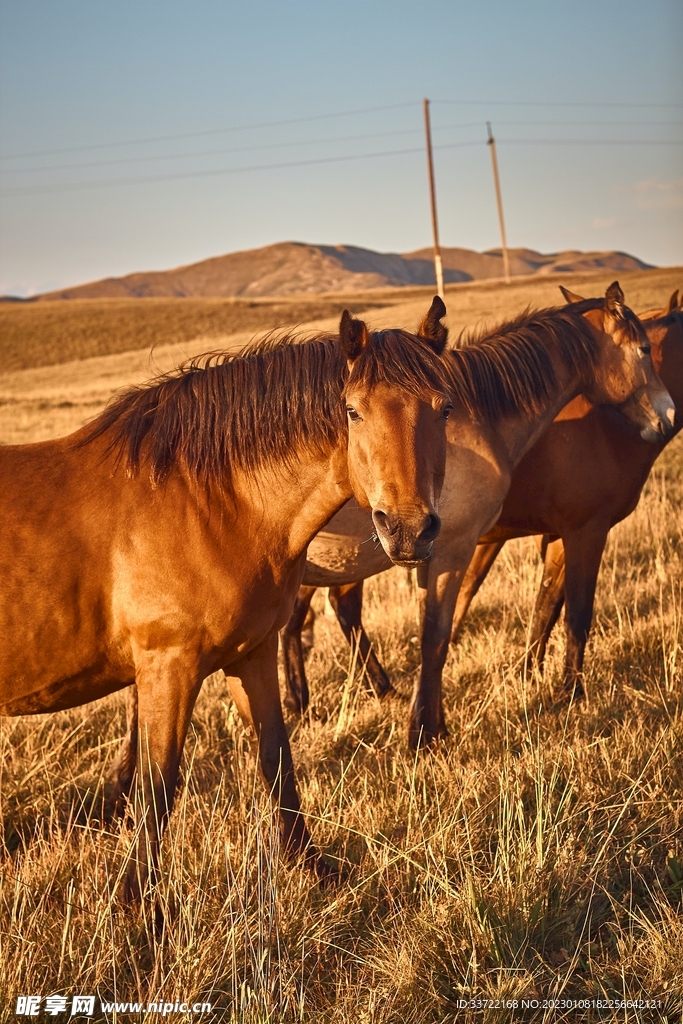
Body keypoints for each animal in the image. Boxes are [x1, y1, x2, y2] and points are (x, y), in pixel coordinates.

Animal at [0, 303, 454, 902]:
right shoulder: (167, 668)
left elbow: (277, 760)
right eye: (353, 412)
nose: (408, 531)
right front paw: (139, 906)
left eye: (445, 408)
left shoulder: (250, 655)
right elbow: (159, 789)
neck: (212, 502)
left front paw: (317, 871)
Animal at [277, 283, 676, 747]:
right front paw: (425, 732)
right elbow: (439, 636)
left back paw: (318, 700)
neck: (481, 414)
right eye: (644, 349)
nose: (665, 417)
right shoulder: (462, 548)